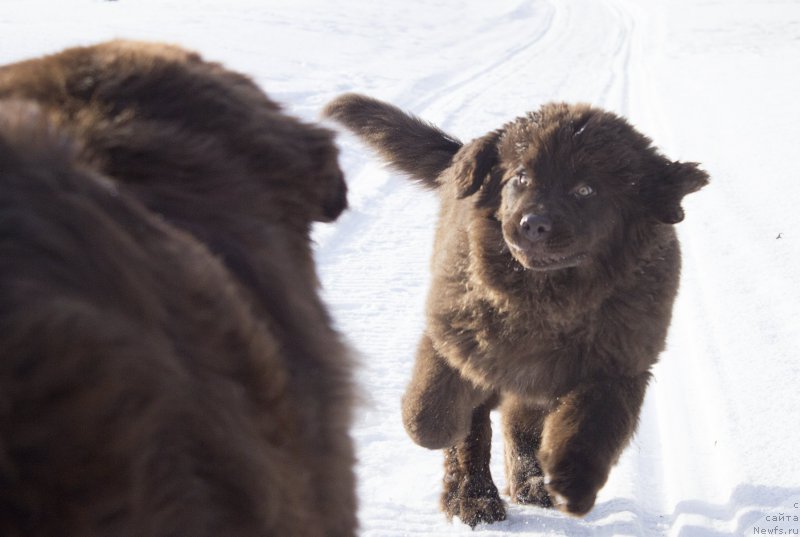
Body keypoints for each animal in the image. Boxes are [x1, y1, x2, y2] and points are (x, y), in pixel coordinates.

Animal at [324, 92, 708, 524]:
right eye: (520, 177)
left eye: (586, 190)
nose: (532, 224)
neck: (545, 299)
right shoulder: (455, 333)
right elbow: (431, 411)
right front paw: (435, 433)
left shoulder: (620, 365)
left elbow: (591, 426)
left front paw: (571, 482)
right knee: (476, 434)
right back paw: (473, 498)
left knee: (518, 422)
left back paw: (529, 482)